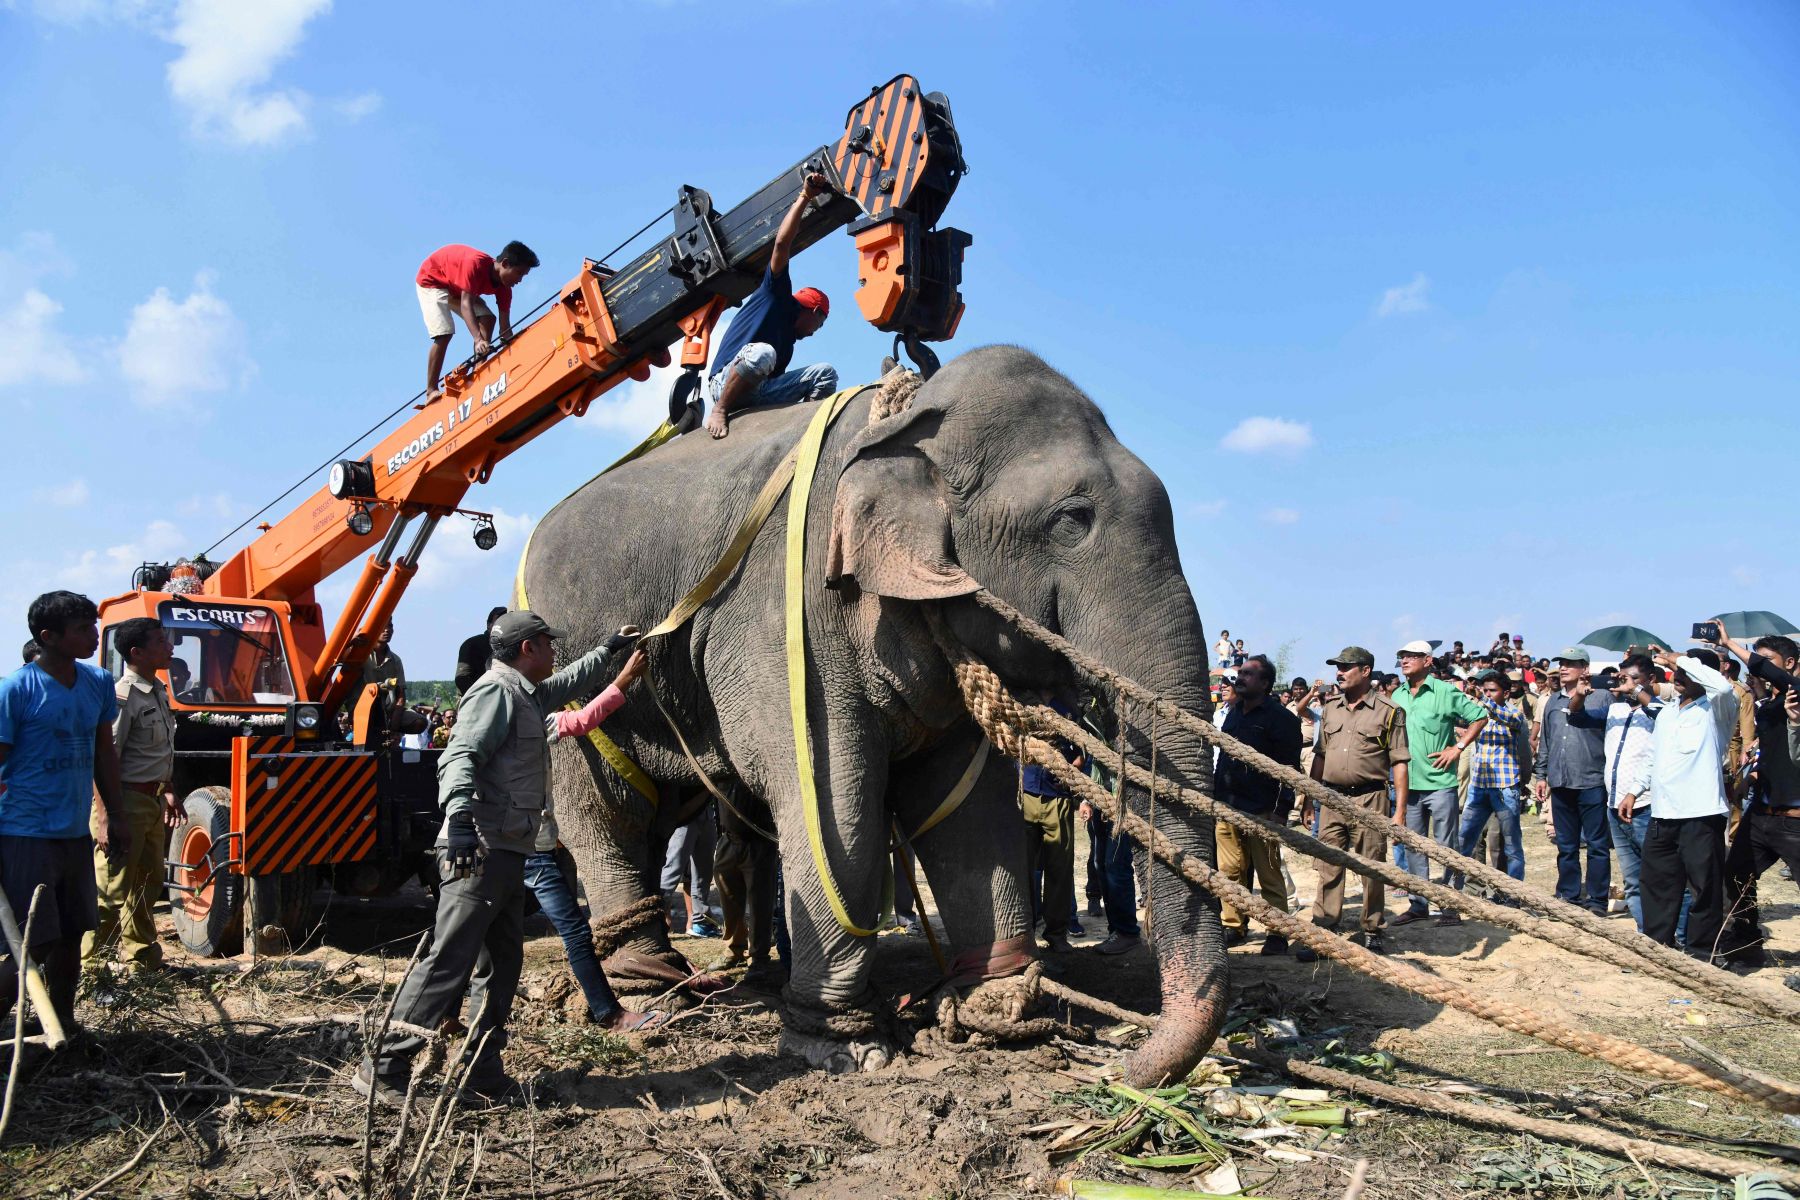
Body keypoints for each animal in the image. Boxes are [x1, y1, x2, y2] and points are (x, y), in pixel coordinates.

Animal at [522, 345, 1224, 1086]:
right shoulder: (788, 619)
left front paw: (999, 1014)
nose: (1119, 1073)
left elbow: (966, 811)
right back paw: (650, 992)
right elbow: (838, 807)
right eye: (1072, 519)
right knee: (608, 813)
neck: (906, 426)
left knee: (666, 816)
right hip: (568, 683)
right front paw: (847, 1046)